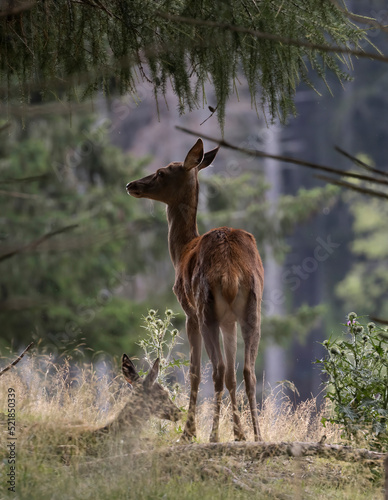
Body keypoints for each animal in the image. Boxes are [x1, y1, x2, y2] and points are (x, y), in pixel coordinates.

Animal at [126, 138, 264, 442]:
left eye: (161, 172)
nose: (131, 184)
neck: (182, 251)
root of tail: (230, 273)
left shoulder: (188, 311)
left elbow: (194, 371)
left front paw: (188, 433)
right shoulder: (229, 321)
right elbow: (233, 376)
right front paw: (239, 433)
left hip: (205, 307)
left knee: (217, 369)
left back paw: (211, 436)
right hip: (253, 308)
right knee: (247, 371)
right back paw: (257, 436)